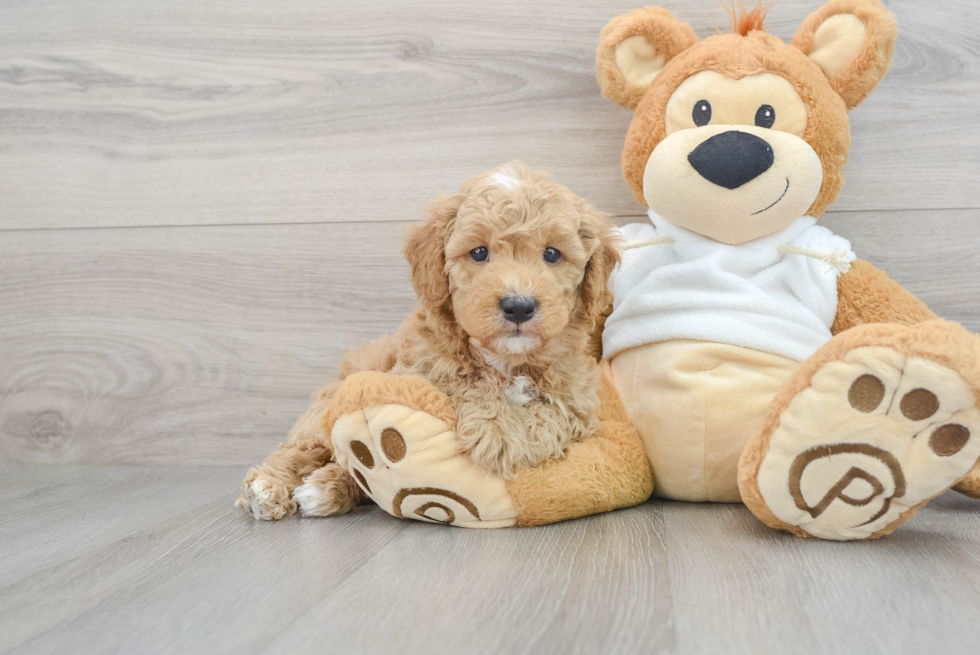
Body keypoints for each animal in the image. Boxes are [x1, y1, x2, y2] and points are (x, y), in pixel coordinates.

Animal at [239, 161, 620, 520]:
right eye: (479, 253)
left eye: (552, 254)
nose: (518, 306)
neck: (507, 359)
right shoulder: (417, 370)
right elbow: (465, 379)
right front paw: (497, 433)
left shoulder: (578, 399)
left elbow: (554, 412)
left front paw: (522, 438)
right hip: (325, 410)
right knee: (298, 452)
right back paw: (268, 489)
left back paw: (325, 488)